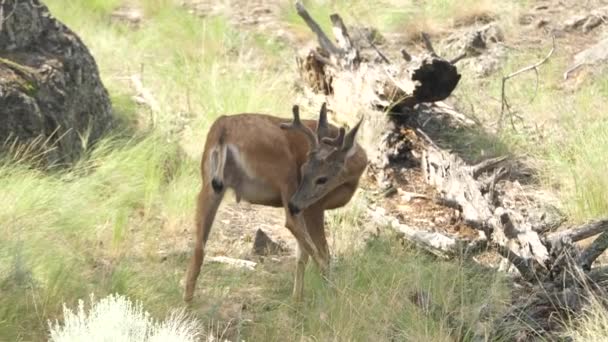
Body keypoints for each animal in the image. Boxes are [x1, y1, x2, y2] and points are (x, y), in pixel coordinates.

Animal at [183, 103, 368, 302]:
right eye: (304, 170)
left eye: (321, 178)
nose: (295, 204)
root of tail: (223, 129)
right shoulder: (313, 206)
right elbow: (319, 251)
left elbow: (301, 255)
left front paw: (297, 300)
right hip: (284, 171)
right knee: (293, 225)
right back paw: (334, 288)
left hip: (210, 185)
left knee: (199, 247)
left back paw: (188, 302)